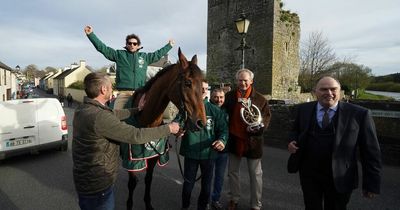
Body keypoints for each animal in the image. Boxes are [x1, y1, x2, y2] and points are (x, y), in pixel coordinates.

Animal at [121, 48, 206, 209]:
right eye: (188, 82)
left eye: (203, 86)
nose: (201, 123)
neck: (148, 122)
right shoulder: (132, 161)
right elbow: (132, 183)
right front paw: (129, 204)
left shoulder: (154, 157)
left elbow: (148, 179)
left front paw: (148, 204)